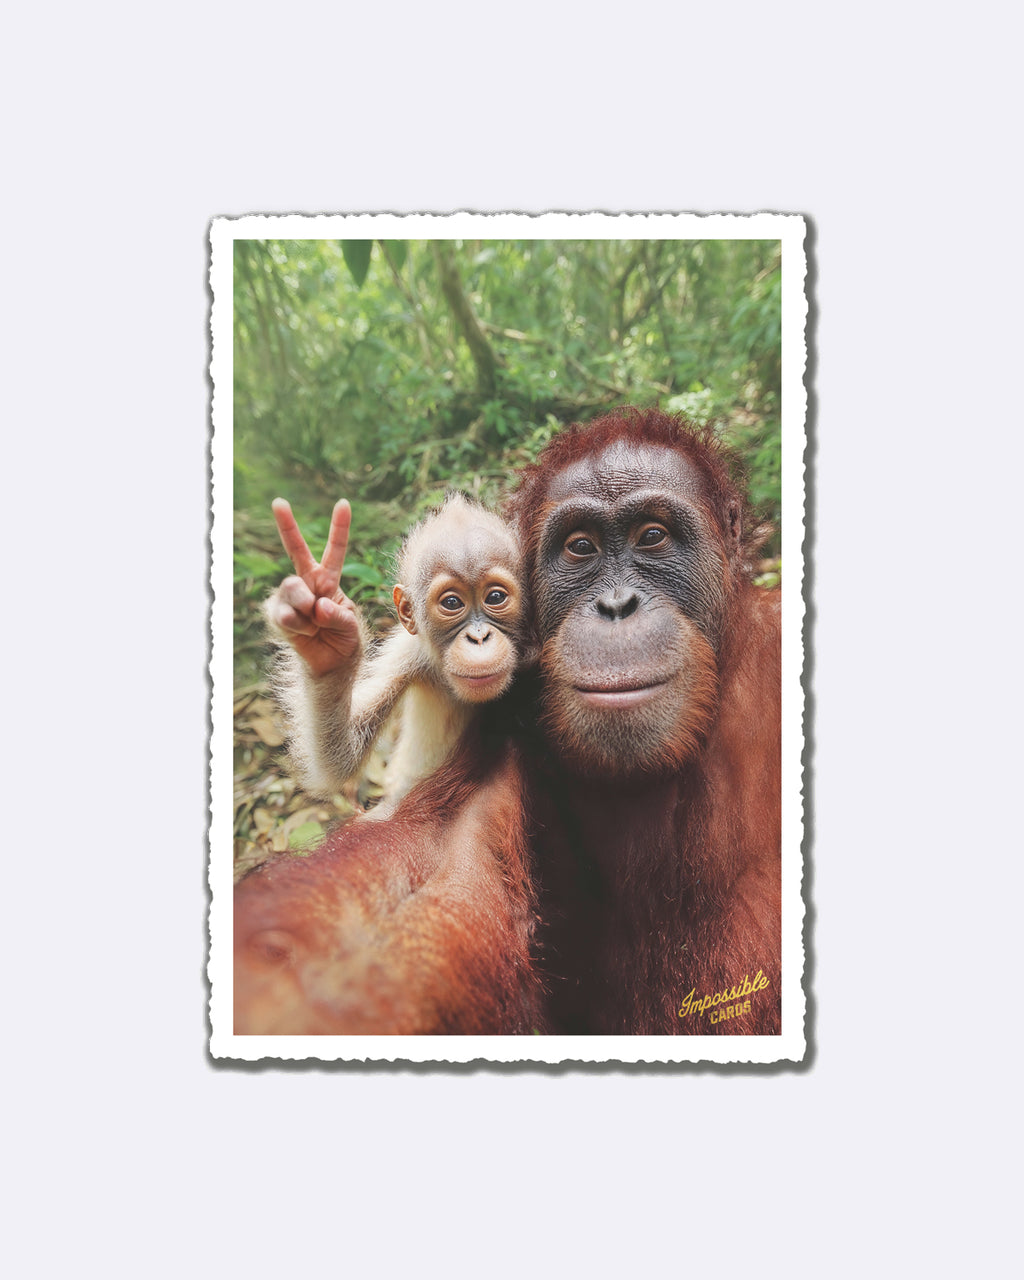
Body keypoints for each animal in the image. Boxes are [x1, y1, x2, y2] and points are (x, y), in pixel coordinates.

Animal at [264, 492, 525, 810]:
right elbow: (338, 761)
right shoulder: (408, 655)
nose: (479, 637)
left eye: (496, 597)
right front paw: (325, 643)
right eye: (452, 603)